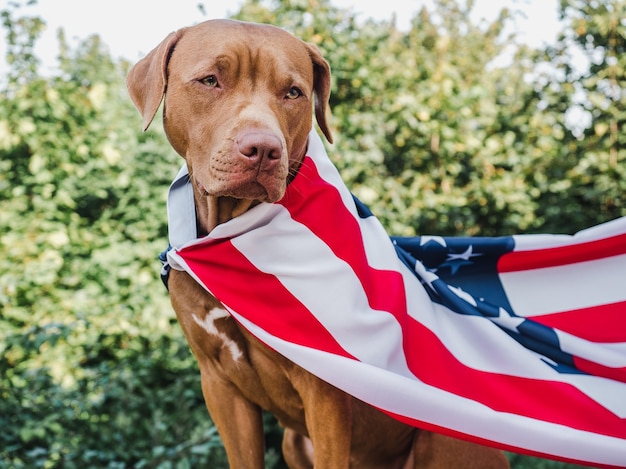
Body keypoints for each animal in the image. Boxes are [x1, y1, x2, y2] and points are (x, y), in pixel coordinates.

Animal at [125, 19, 508, 468]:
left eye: (293, 92)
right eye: (210, 80)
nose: (263, 150)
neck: (235, 232)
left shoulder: (325, 392)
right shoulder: (220, 385)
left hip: (444, 443)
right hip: (293, 442)